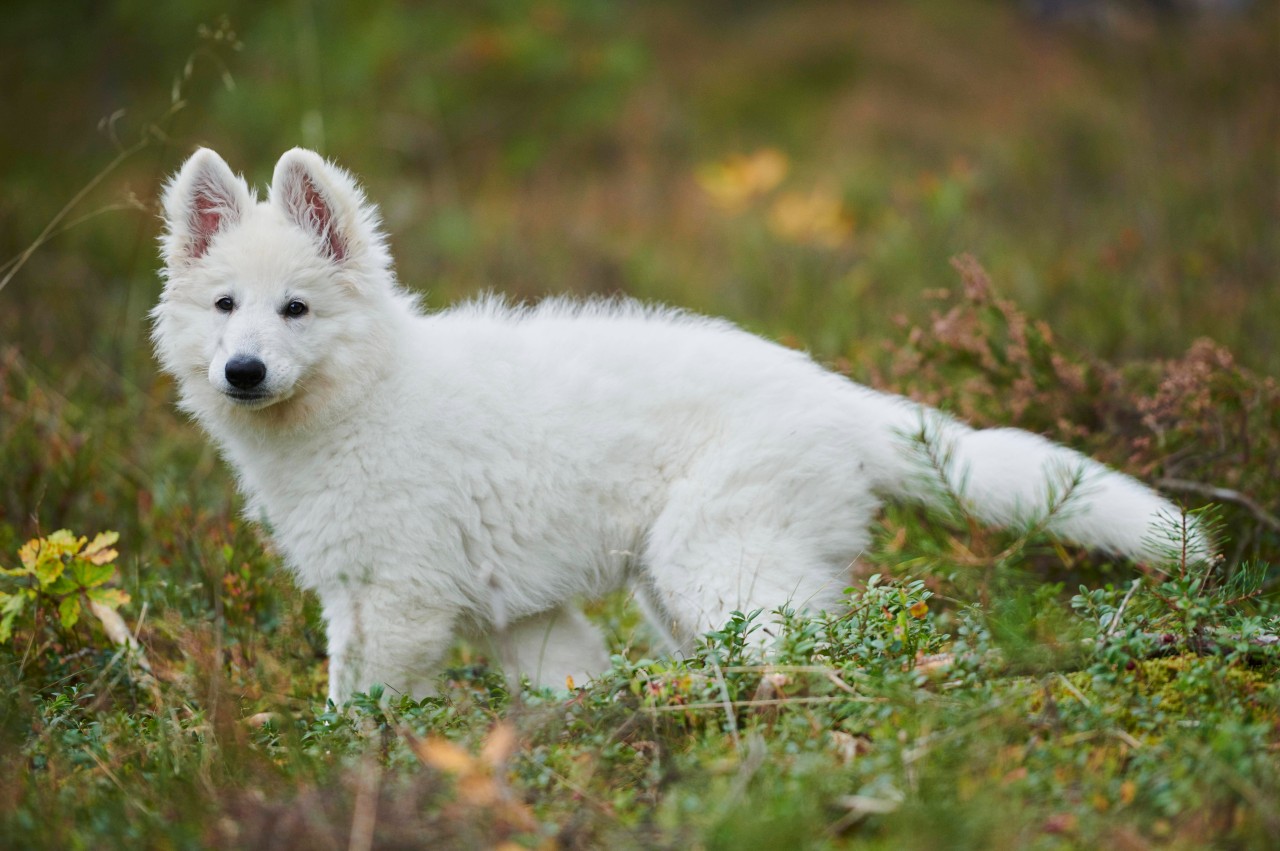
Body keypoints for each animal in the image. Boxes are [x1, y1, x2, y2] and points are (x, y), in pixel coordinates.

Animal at [154, 147, 1203, 701]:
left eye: (295, 309)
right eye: (224, 306)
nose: (242, 372)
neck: (366, 394)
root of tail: (834, 395)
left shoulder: (398, 599)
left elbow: (364, 707)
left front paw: (351, 774)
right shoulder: (505, 608)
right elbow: (562, 682)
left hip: (716, 558)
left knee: (810, 647)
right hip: (685, 583)